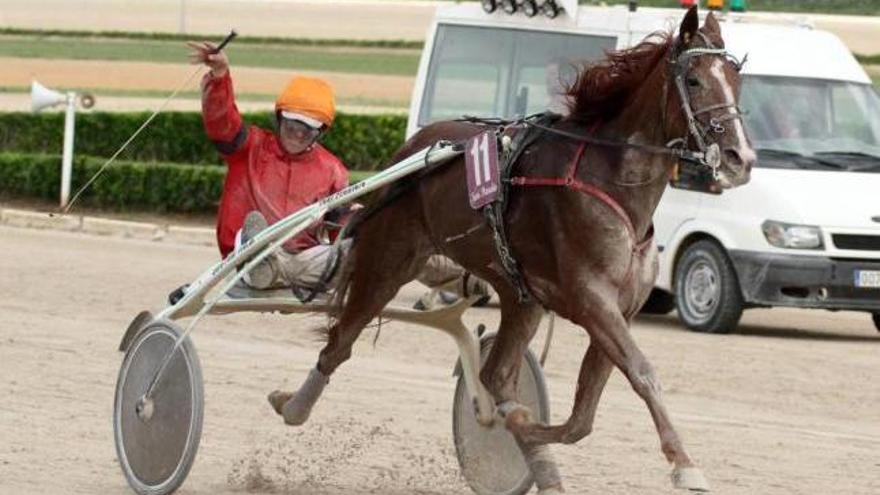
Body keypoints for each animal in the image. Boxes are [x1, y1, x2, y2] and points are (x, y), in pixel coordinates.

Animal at [270, 6, 756, 492]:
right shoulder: (592, 300)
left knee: (496, 375)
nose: (741, 158)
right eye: (693, 79)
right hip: (388, 260)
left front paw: (524, 430)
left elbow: (581, 417)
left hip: (520, 295)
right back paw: (291, 405)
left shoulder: (621, 307)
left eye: (736, 78)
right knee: (340, 343)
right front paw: (685, 464)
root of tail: (412, 150)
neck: (610, 184)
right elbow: (641, 373)